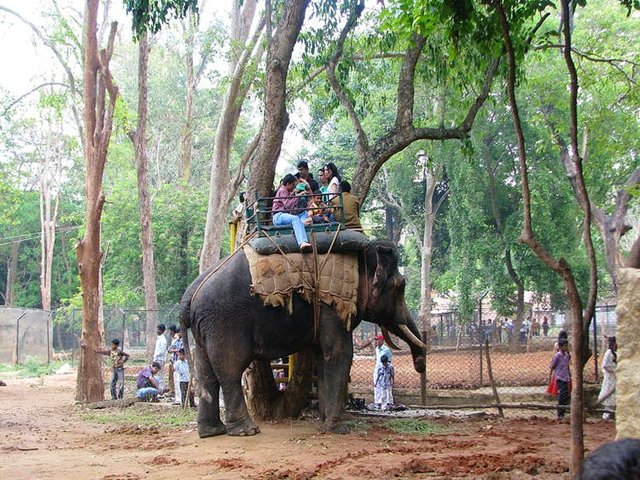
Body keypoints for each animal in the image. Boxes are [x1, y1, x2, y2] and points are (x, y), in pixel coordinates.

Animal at [180, 238, 428, 436]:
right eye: (401, 287)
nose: (420, 365)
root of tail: (189, 294)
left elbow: (323, 355)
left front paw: (324, 423)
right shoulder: (331, 306)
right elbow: (339, 353)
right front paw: (338, 429)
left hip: (206, 328)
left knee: (206, 373)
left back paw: (211, 431)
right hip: (225, 322)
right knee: (230, 371)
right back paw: (246, 431)